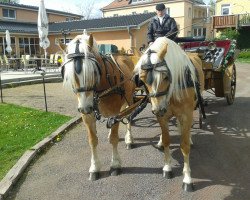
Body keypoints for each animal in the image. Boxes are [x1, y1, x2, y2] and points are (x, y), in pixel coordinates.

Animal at [60, 32, 136, 180]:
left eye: (94, 72)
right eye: (69, 74)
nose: (85, 107)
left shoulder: (114, 112)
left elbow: (113, 139)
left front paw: (115, 164)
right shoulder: (87, 116)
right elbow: (92, 140)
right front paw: (94, 168)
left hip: (129, 99)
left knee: (128, 117)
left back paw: (129, 139)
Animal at [134, 36, 204, 191]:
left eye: (165, 77)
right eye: (141, 79)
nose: (158, 109)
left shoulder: (186, 114)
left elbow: (184, 146)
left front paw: (187, 178)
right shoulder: (162, 117)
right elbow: (166, 140)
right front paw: (167, 167)